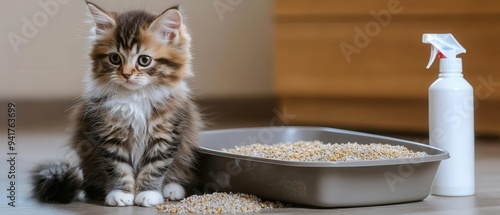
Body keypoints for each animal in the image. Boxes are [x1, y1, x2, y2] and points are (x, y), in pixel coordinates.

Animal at [31, 2, 201, 207]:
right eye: (115, 58)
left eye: (144, 60)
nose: (126, 74)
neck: (134, 98)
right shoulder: (108, 134)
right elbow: (118, 167)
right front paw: (121, 194)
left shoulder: (166, 134)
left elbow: (155, 167)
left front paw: (149, 193)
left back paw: (173, 188)